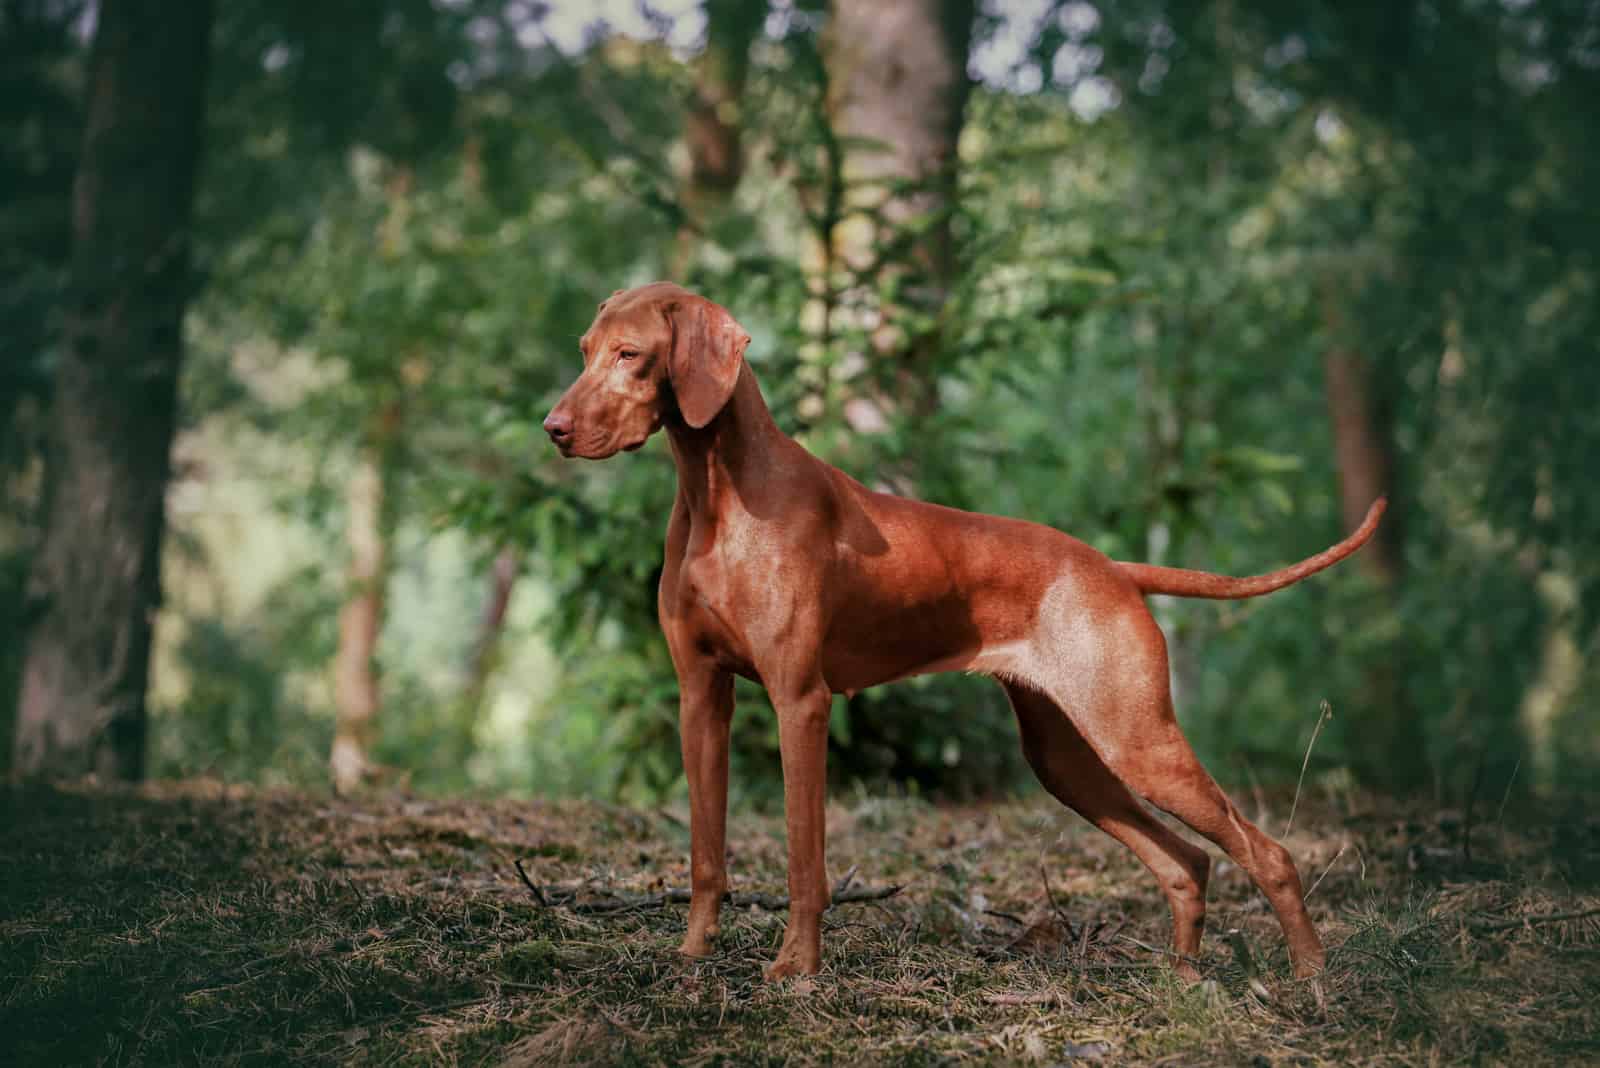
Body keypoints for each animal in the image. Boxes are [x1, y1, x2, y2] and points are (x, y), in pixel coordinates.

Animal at [544, 279, 1382, 978]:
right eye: (584, 350)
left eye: (630, 354)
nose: (552, 428)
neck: (718, 496)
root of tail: (1114, 569)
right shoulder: (700, 697)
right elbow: (705, 853)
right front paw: (691, 955)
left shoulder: (800, 702)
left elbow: (805, 862)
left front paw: (796, 969)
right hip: (1067, 760)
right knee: (1187, 864)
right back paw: (1182, 982)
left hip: (1138, 741)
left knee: (1268, 853)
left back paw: (1311, 980)